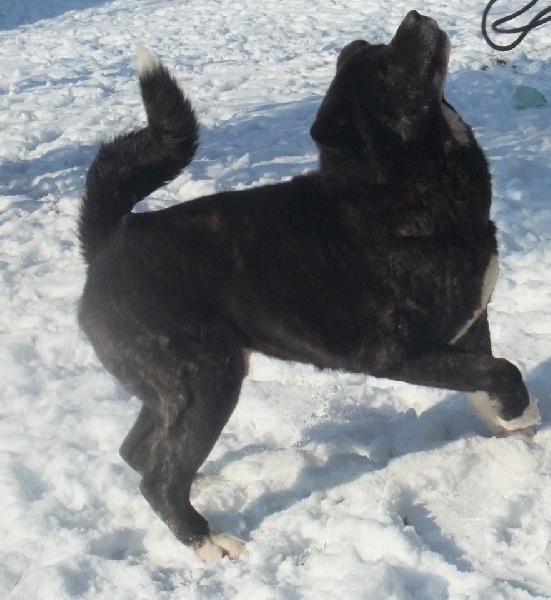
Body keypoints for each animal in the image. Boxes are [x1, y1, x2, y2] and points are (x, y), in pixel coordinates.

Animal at [78, 11, 540, 561]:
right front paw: (522, 409)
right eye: (388, 68)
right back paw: (208, 540)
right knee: (159, 479)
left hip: (174, 388)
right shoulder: (400, 355)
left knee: (141, 451)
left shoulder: (469, 322)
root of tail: (108, 240)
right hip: (205, 380)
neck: (399, 183)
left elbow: (482, 375)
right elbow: (499, 370)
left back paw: (198, 484)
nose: (414, 17)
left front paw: (506, 424)